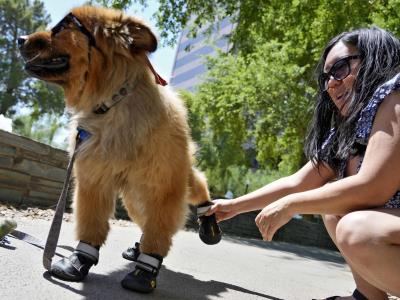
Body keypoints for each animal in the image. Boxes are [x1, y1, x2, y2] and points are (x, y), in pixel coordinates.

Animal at [18, 5, 222, 292]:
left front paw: (146, 270)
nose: (20, 39)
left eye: (60, 28)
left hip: (175, 180)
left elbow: (159, 232)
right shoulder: (94, 180)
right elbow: (91, 223)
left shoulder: (163, 187)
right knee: (145, 221)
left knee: (198, 188)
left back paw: (208, 223)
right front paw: (79, 260)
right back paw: (137, 248)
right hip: (135, 200)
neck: (110, 103)